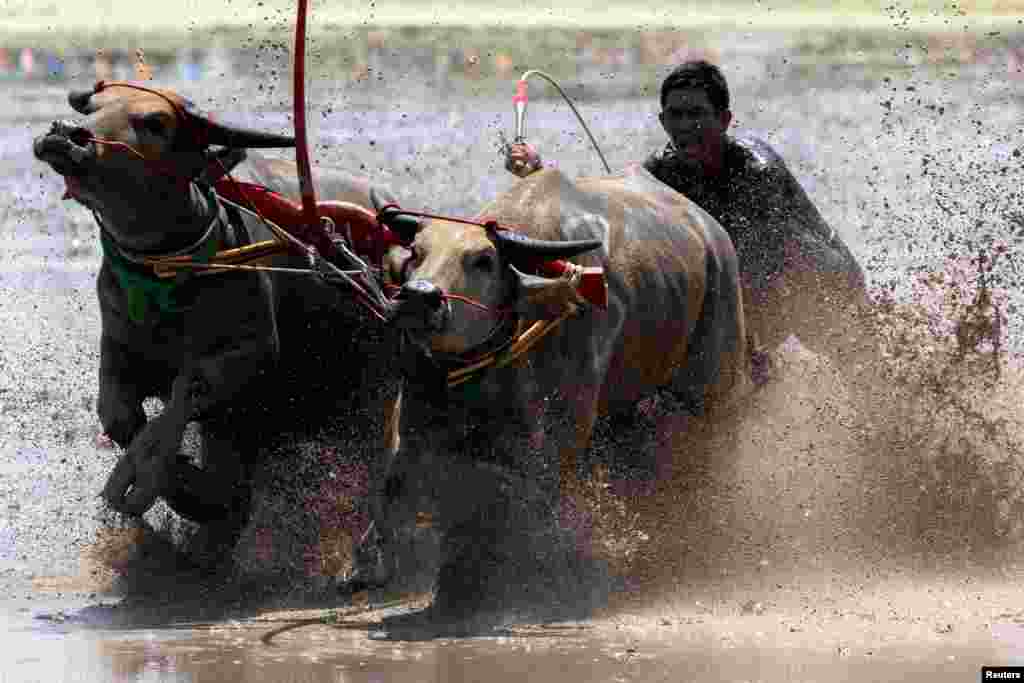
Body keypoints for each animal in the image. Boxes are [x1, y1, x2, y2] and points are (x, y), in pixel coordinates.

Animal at [33, 80, 399, 561]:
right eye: (93, 108)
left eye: (156, 122)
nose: (66, 134)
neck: (169, 278)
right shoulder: (118, 348)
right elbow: (118, 416)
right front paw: (182, 486)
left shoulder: (251, 355)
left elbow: (180, 399)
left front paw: (152, 479)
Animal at [360, 163, 753, 634]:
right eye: (417, 251)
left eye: (482, 260)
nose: (420, 297)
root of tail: (712, 233)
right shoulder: (422, 407)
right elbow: (400, 480)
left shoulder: (560, 432)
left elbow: (525, 502)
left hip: (714, 377)